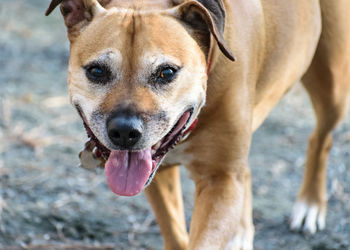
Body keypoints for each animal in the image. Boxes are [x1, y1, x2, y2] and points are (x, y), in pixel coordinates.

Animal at [46, 0, 350, 249]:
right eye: (97, 71)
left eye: (166, 72)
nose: (123, 132)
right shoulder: (159, 173)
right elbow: (175, 232)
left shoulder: (219, 179)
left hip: (332, 86)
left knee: (321, 139)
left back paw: (310, 205)